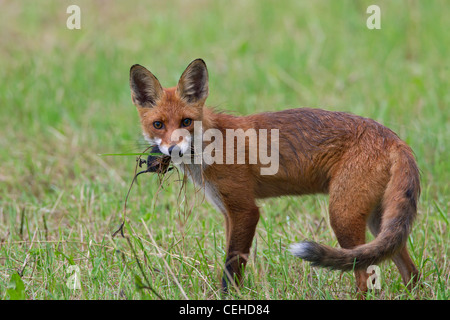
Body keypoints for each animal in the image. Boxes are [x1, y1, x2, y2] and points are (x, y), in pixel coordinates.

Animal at [128, 58, 420, 296]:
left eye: (186, 122)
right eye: (158, 125)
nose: (173, 150)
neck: (212, 145)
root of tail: (394, 138)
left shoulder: (245, 210)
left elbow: (231, 268)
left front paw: (230, 297)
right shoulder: (228, 212)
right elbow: (232, 261)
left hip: (343, 215)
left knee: (365, 277)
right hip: (378, 221)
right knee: (411, 272)